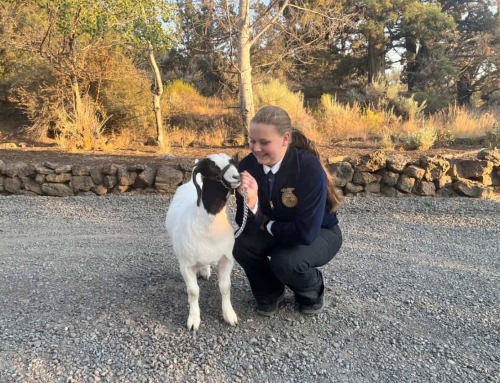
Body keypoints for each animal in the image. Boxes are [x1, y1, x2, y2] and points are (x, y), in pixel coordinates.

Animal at [165, 152, 241, 330]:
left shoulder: (227, 259)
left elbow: (225, 287)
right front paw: (194, 320)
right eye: (212, 167)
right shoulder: (186, 265)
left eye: (233, 161)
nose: (237, 176)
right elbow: (193, 292)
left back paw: (205, 270)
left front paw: (229, 315)